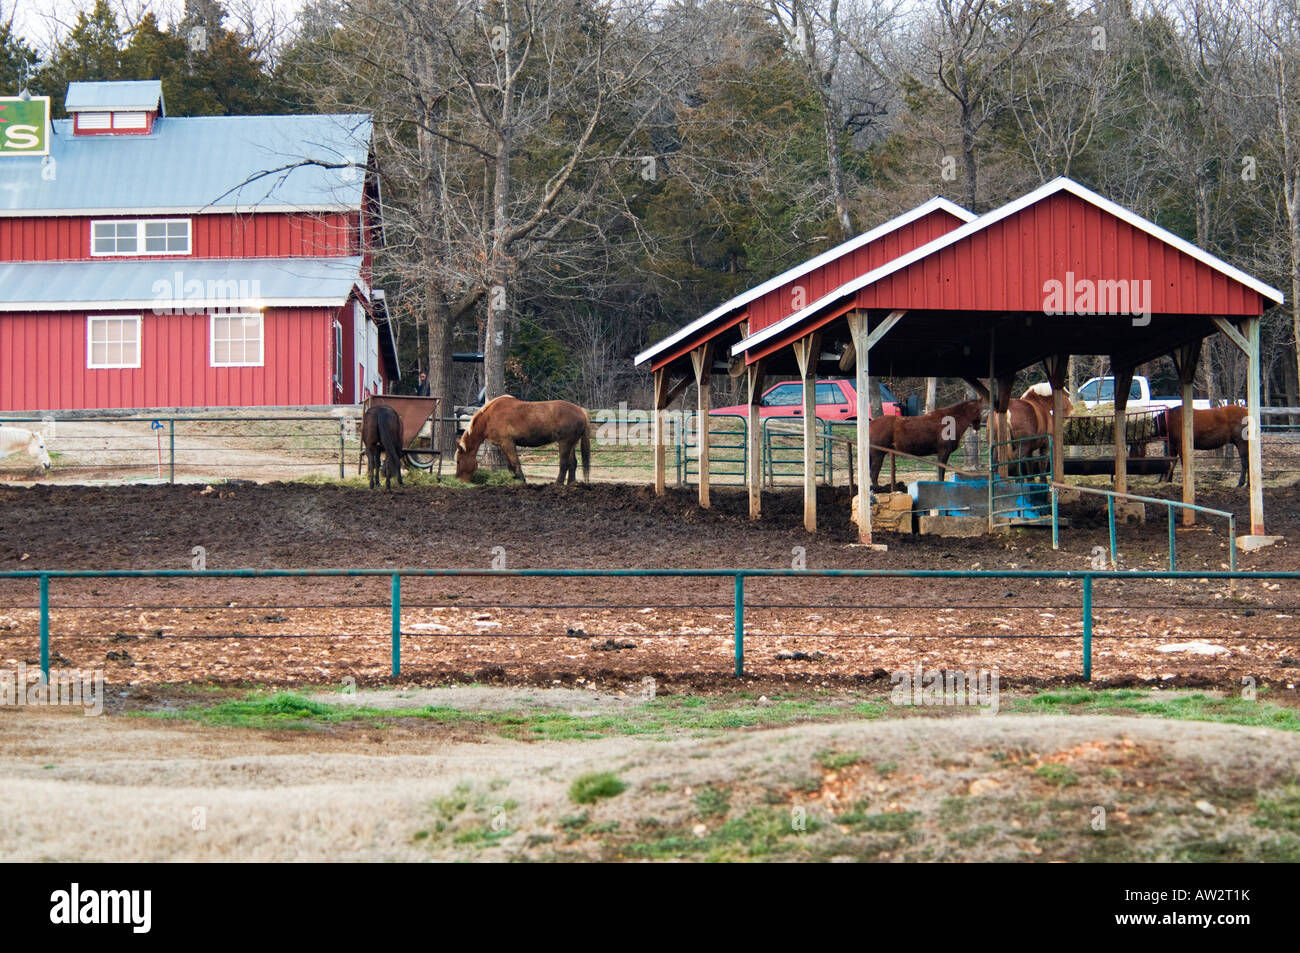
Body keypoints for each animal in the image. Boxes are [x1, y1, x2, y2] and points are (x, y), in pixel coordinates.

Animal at [454, 395, 592, 483]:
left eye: (459, 461)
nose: (459, 480)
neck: (489, 416)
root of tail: (580, 410)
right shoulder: (503, 445)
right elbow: (510, 465)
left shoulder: (508, 443)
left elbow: (515, 463)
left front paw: (522, 481)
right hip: (571, 443)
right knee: (573, 463)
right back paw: (571, 484)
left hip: (564, 443)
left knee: (564, 464)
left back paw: (558, 484)